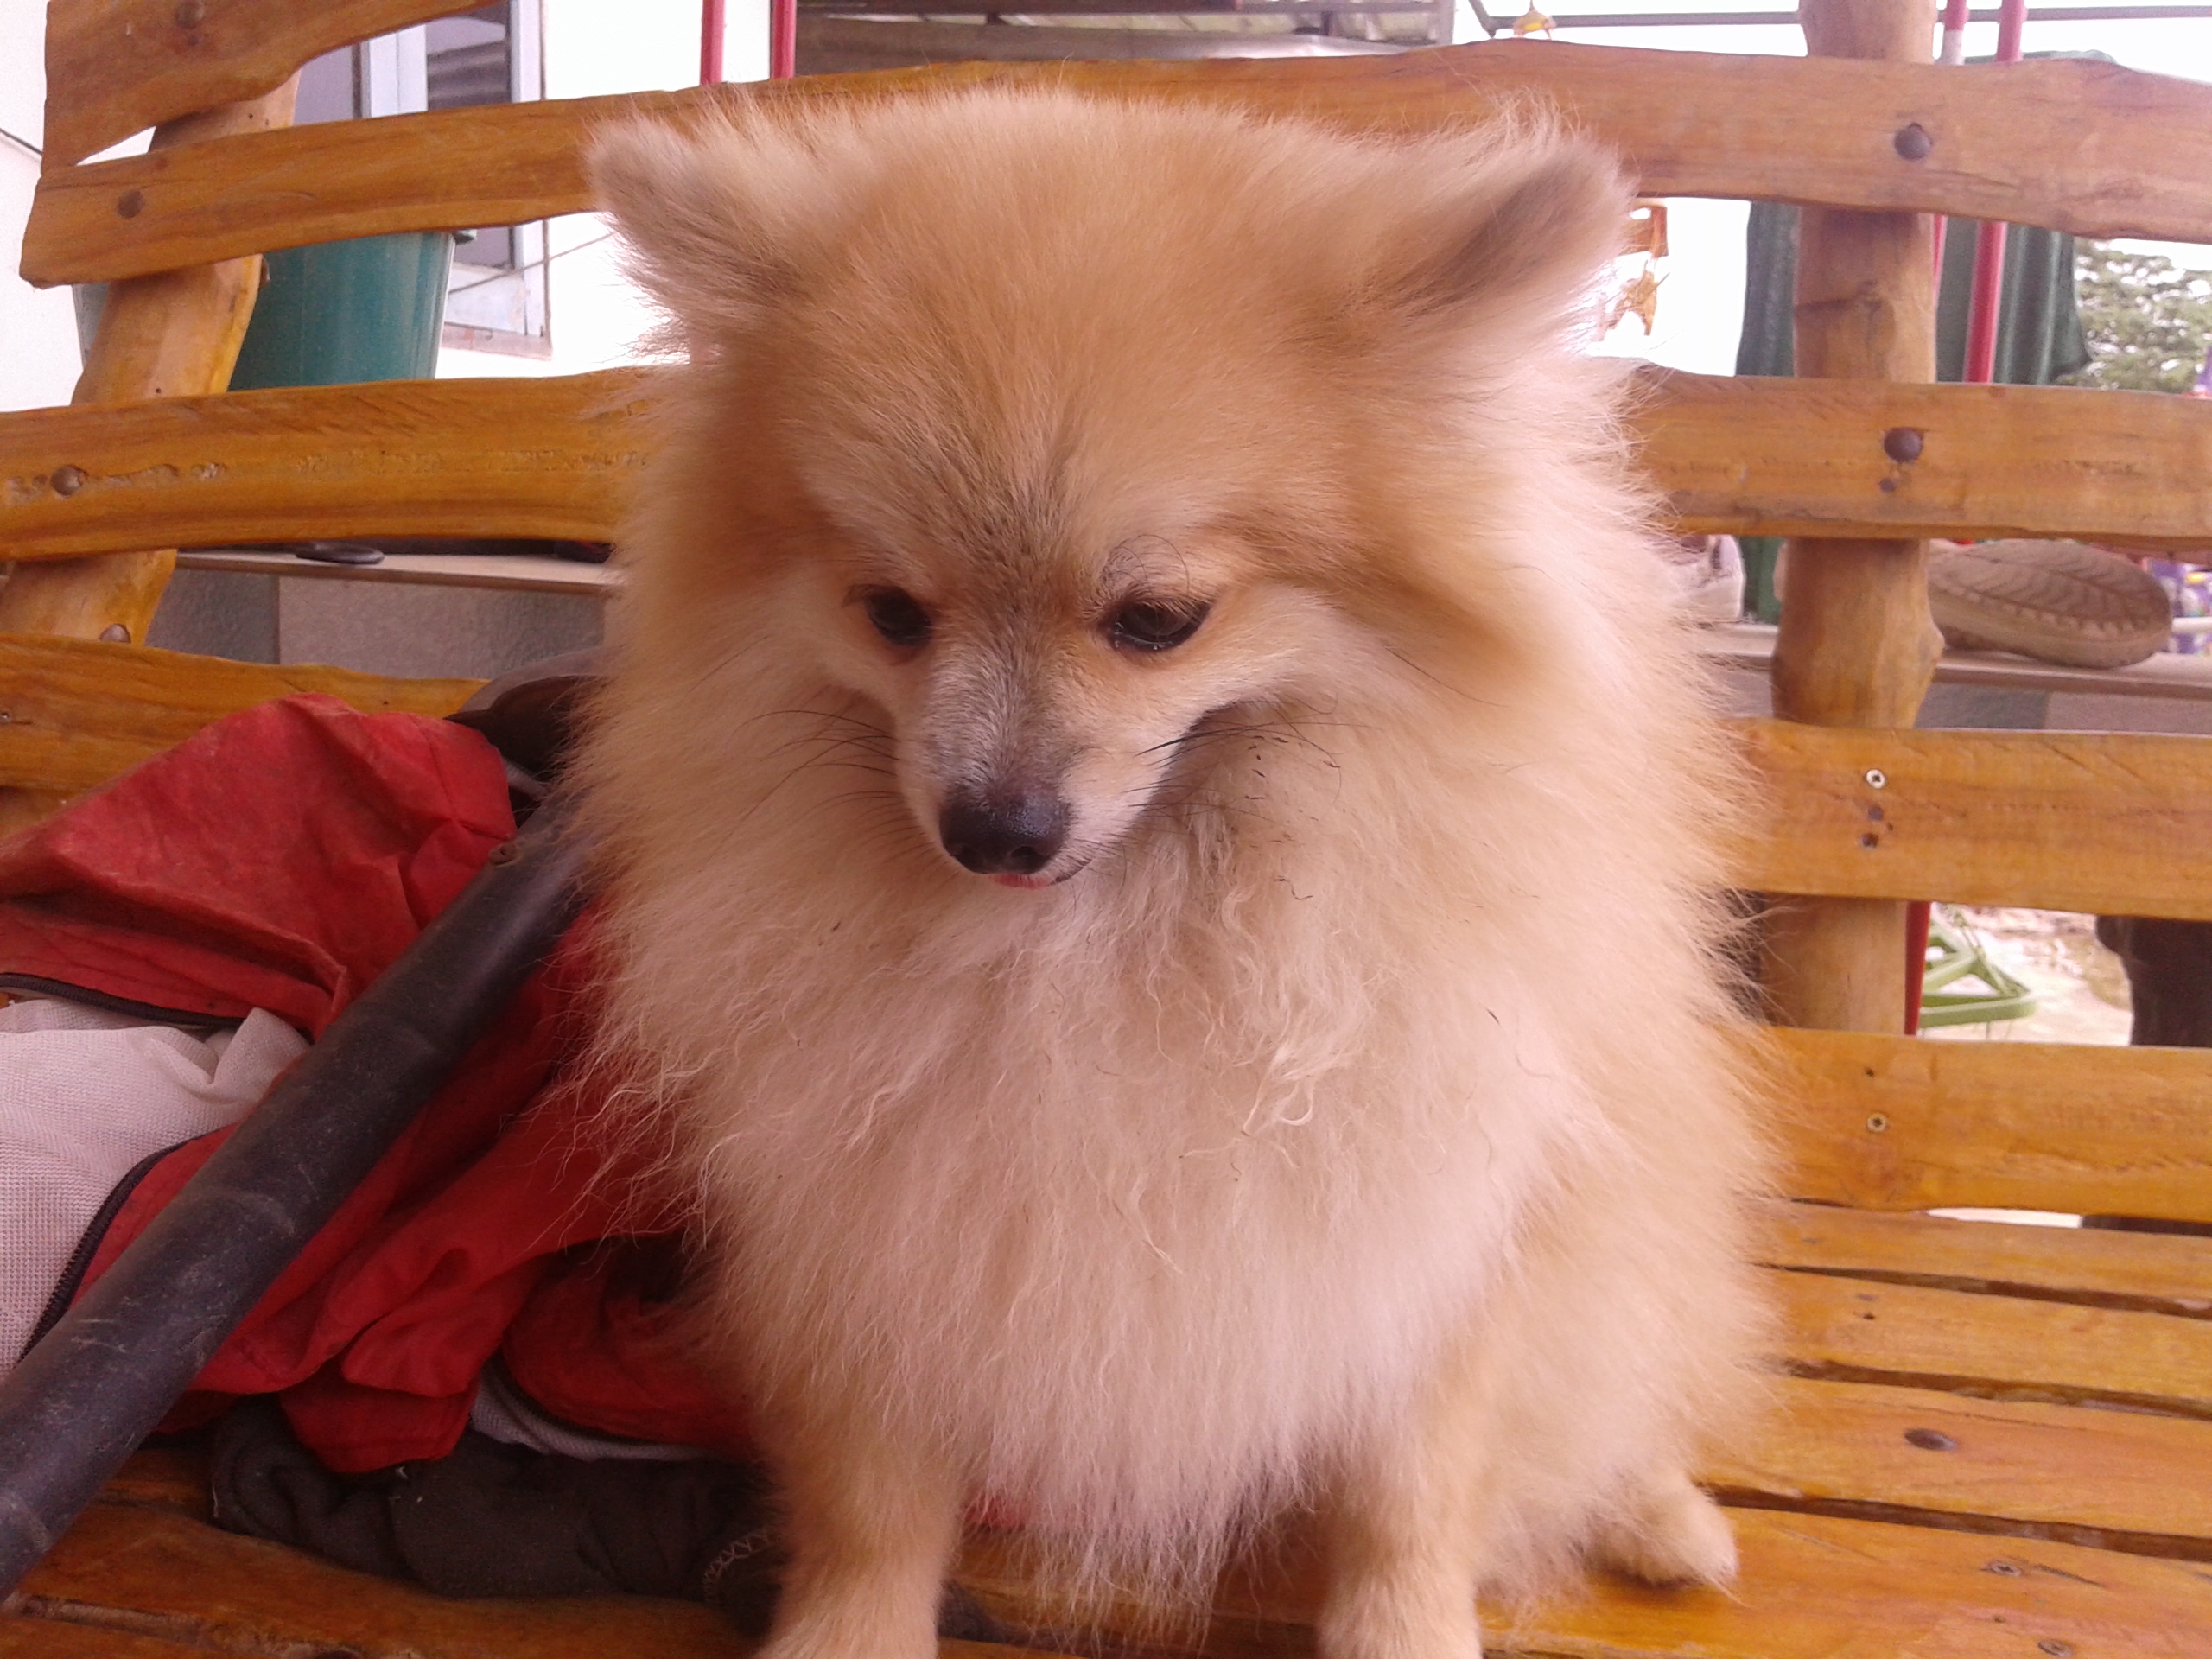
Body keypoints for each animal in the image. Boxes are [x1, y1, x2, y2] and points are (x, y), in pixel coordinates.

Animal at [577, 89, 1769, 1659]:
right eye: (890, 612)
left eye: (1158, 621)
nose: (995, 827)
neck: (1110, 952)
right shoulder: (883, 1234)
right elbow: (872, 1504)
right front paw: (851, 1631)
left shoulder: (1435, 1235)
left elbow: (1411, 1500)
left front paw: (1405, 1627)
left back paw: (1659, 1514)